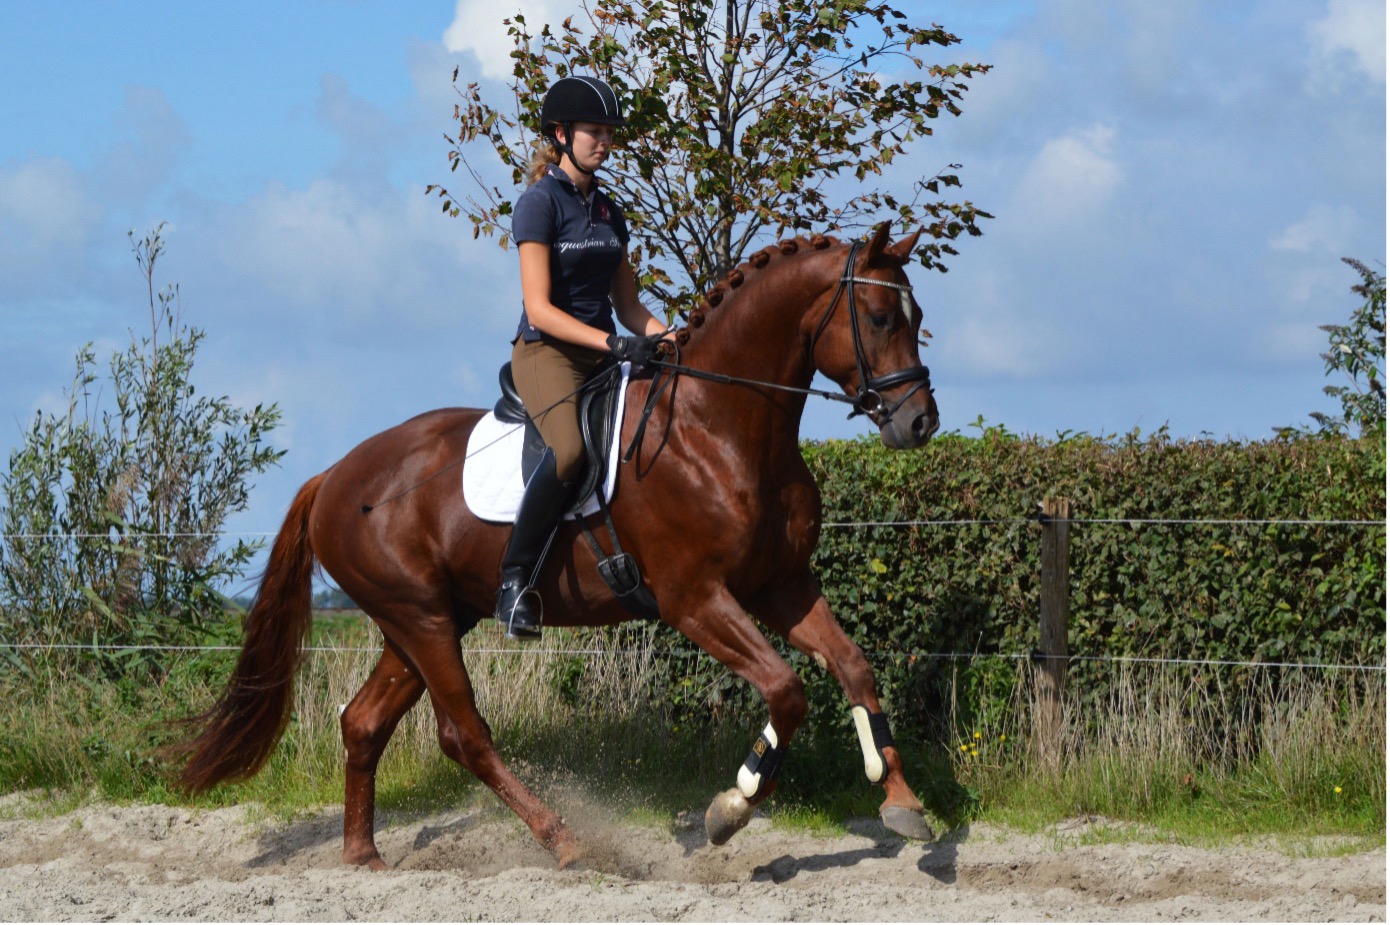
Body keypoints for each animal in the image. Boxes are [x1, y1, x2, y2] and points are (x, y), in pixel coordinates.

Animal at [176, 221, 941, 870]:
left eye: (918, 318)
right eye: (879, 318)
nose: (920, 422)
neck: (719, 424)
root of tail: (332, 475)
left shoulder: (780, 584)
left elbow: (853, 666)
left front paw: (903, 803)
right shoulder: (694, 598)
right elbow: (786, 688)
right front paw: (732, 806)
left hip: (421, 620)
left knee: (364, 723)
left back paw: (363, 857)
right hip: (421, 619)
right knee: (464, 735)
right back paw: (567, 841)